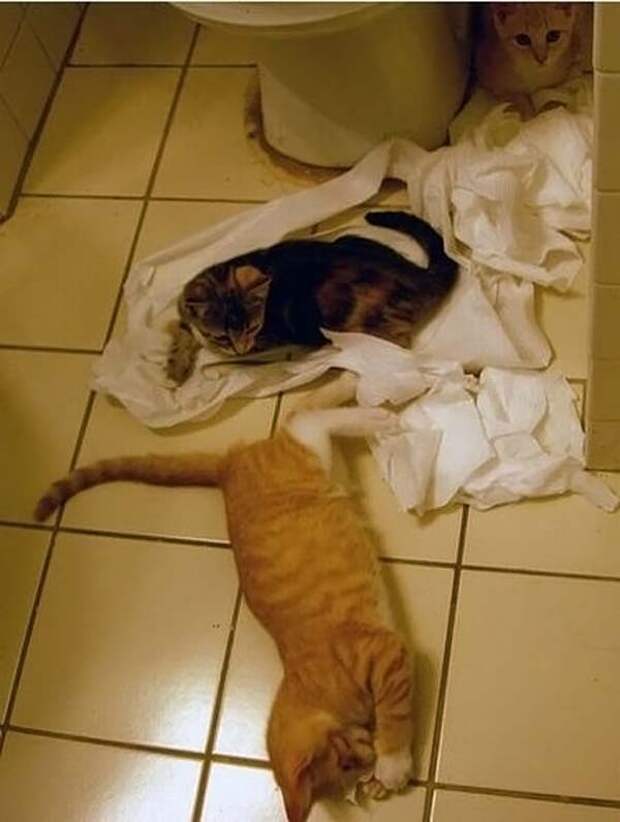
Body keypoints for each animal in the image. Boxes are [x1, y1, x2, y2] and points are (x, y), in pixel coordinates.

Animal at [34, 385, 415, 822]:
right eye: (347, 763)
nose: (366, 757)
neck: (305, 683)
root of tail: (226, 468)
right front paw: (381, 771)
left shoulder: (383, 651)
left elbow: (395, 714)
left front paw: (392, 763)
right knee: (304, 410)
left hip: (308, 448)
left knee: (305, 416)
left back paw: (367, 400)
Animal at [166, 209, 457, 384]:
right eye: (223, 336)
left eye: (251, 328)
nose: (240, 346)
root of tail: (414, 273)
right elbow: (182, 332)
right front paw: (177, 368)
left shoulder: (275, 343)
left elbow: (244, 364)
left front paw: (218, 368)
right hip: (347, 238)